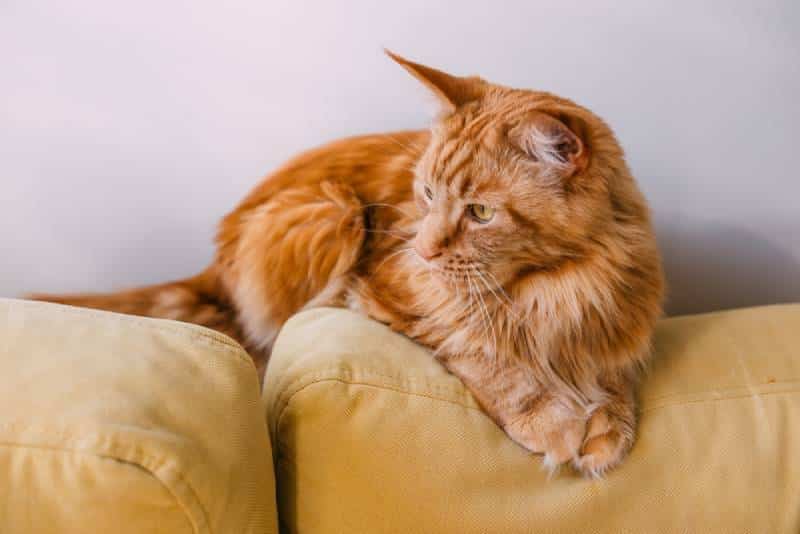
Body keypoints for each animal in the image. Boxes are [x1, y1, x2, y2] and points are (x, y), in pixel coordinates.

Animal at [32, 51, 664, 478]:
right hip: (332, 211)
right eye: (426, 194)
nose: (424, 249)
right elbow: (487, 352)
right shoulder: (387, 287)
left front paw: (608, 423)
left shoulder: (612, 320)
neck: (560, 284)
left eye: (481, 212)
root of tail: (215, 259)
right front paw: (553, 418)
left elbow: (609, 373)